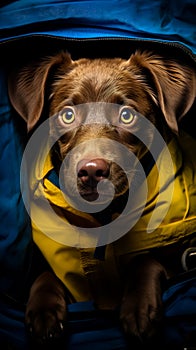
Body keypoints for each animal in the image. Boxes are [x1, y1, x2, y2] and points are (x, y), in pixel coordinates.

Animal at [8, 52, 196, 348]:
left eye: (127, 115)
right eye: (68, 114)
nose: (92, 171)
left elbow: (146, 261)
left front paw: (138, 306)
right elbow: (44, 274)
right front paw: (43, 312)